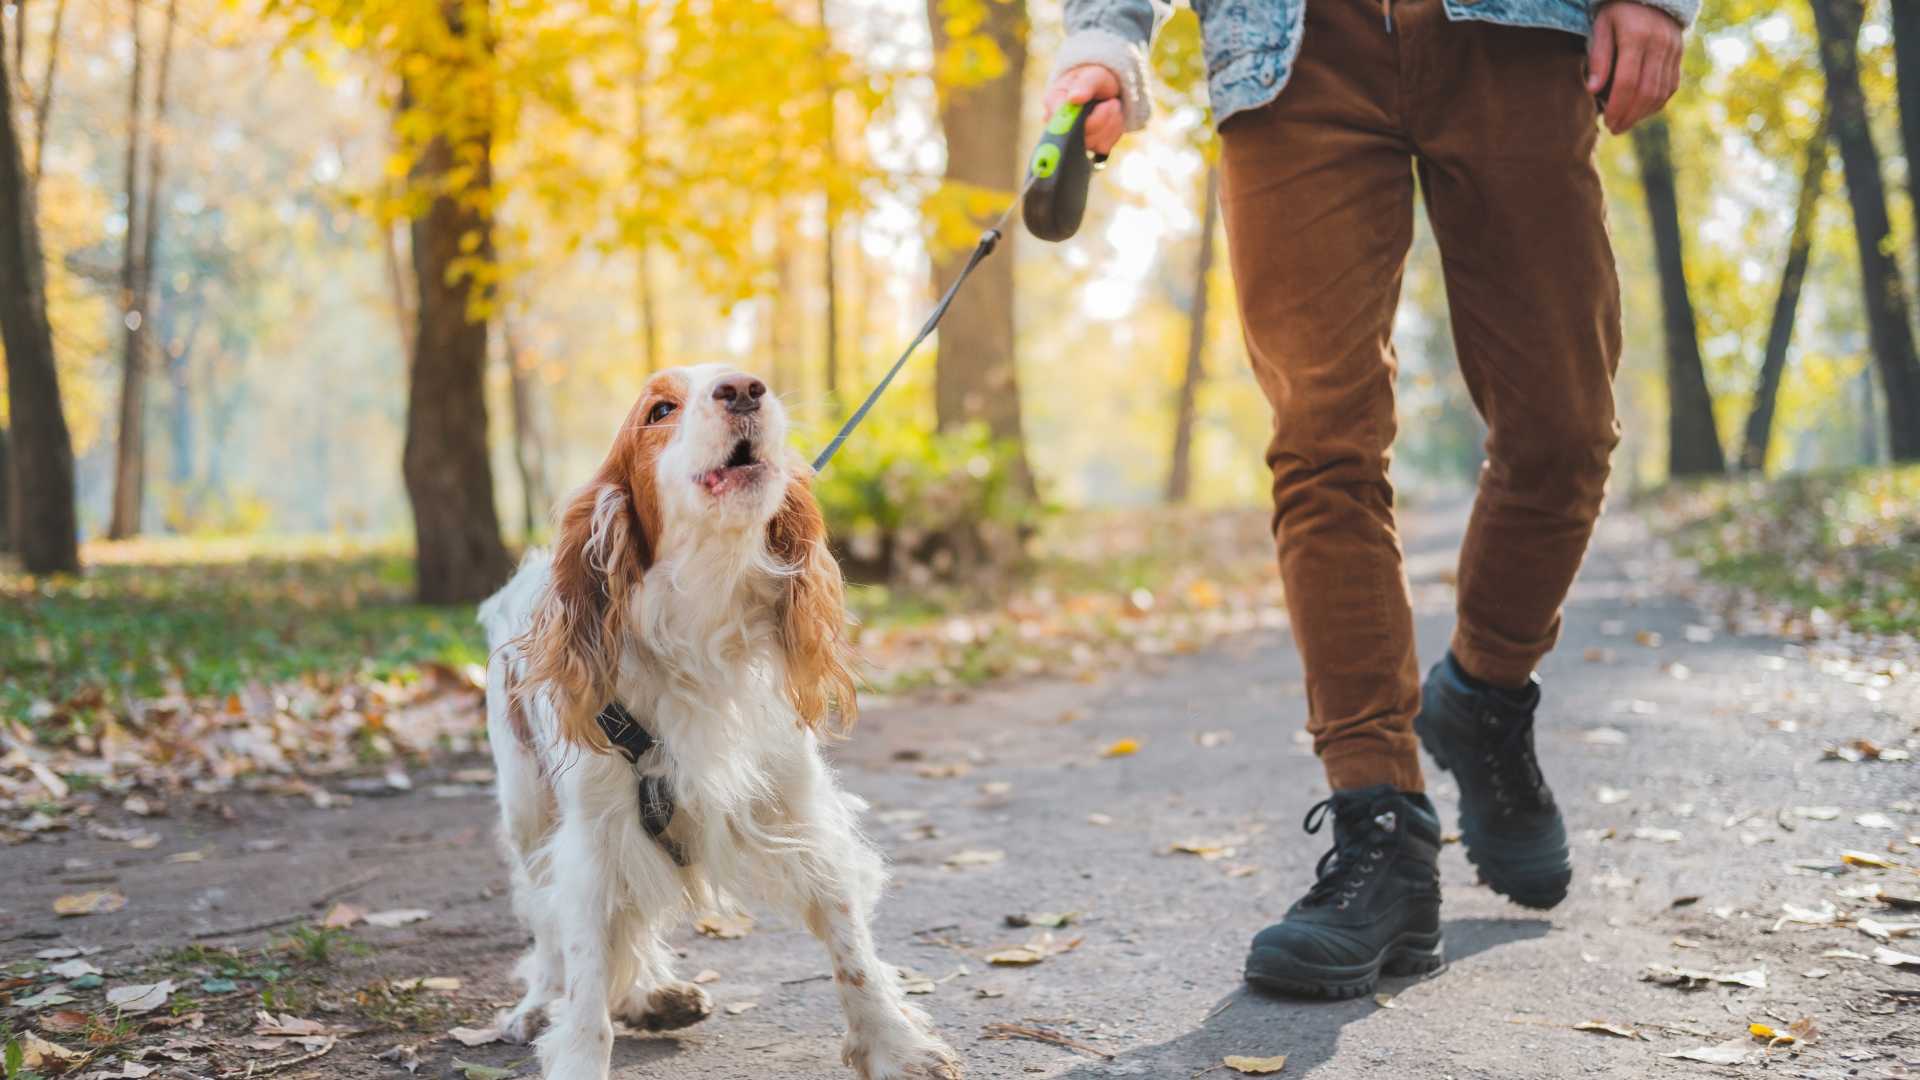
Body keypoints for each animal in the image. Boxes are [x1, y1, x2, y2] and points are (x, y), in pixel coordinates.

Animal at [474, 365, 967, 1076]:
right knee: (546, 923)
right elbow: (587, 976)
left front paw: (894, 1046)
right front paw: (577, 1049)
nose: (743, 389)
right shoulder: (593, 838)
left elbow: (851, 948)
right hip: (527, 809)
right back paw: (543, 1003)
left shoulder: (799, 809)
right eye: (659, 409)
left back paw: (655, 994)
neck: (701, 622)